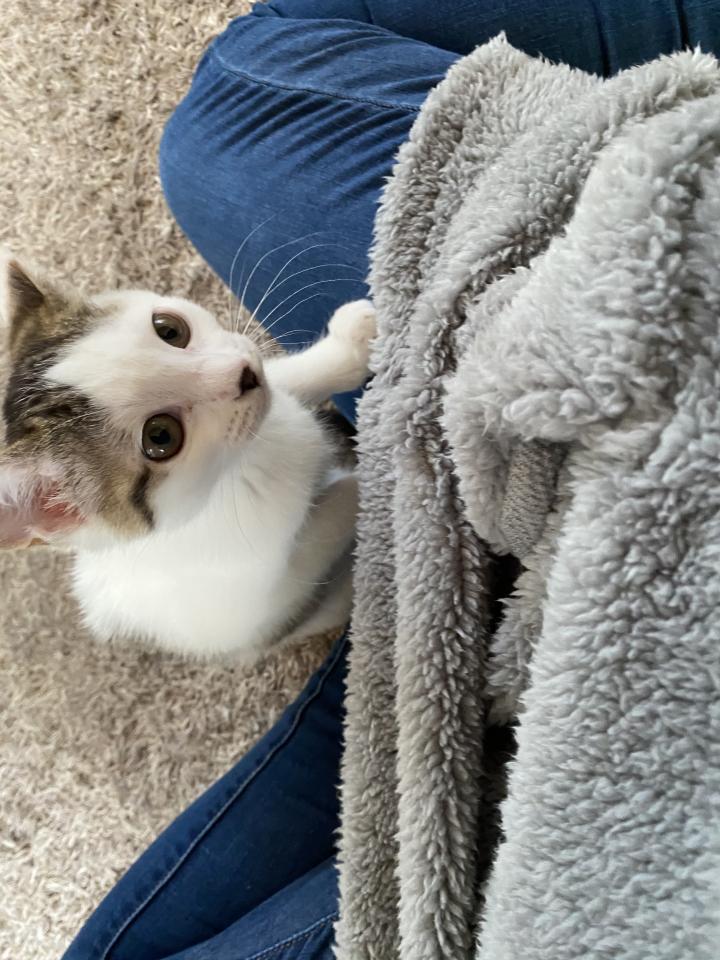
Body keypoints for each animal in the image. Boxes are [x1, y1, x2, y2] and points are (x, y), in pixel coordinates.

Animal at [0, 252, 376, 658]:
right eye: (161, 436)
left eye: (169, 329)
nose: (245, 375)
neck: (237, 465)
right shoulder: (253, 602)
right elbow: (321, 529)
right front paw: (371, 487)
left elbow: (285, 382)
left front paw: (348, 348)